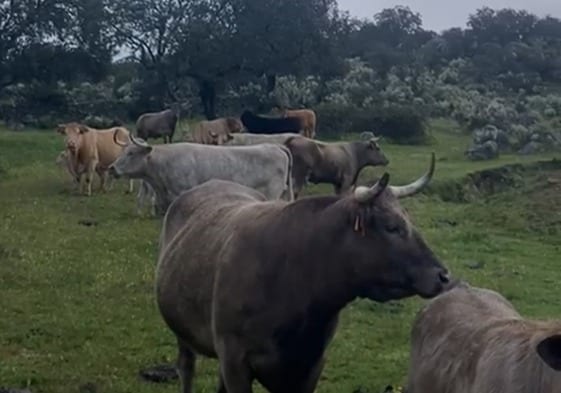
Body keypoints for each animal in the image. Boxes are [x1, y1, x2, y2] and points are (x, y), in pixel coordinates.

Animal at [154, 152, 450, 392]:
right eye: (392, 227)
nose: (443, 276)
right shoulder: (235, 361)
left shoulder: (310, 366)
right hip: (183, 333)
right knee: (186, 368)